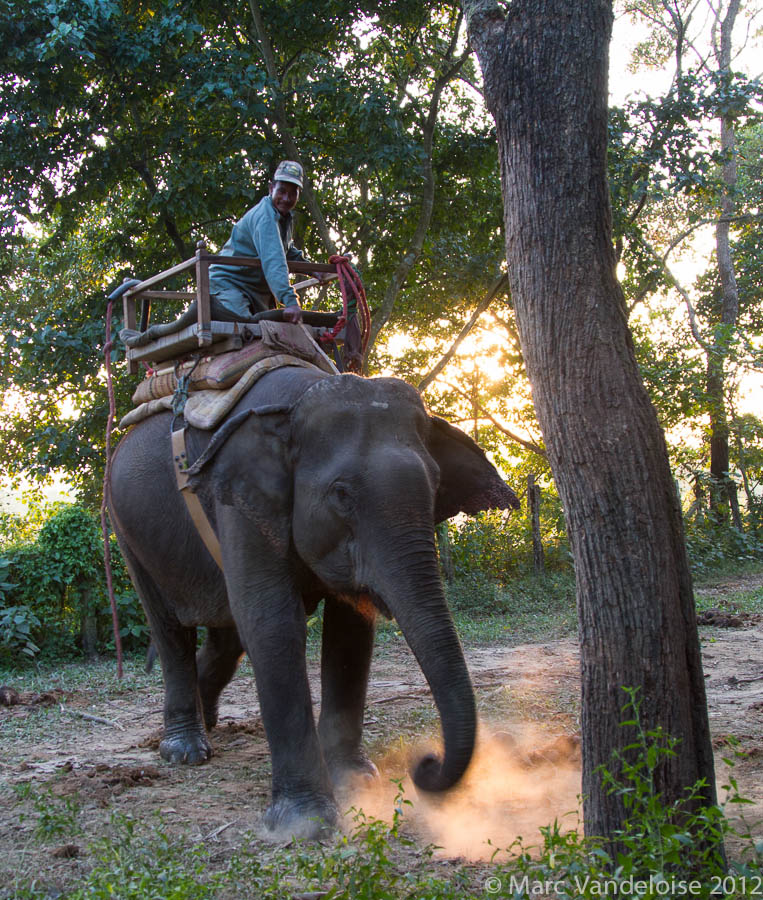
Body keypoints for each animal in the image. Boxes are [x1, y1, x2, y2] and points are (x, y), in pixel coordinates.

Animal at [107, 364, 524, 836]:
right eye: (341, 494)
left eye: (436, 486)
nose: (425, 764)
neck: (297, 400)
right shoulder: (239, 500)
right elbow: (272, 621)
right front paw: (305, 823)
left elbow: (350, 629)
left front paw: (354, 781)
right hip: (126, 531)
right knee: (171, 630)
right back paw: (185, 750)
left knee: (225, 639)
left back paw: (208, 721)